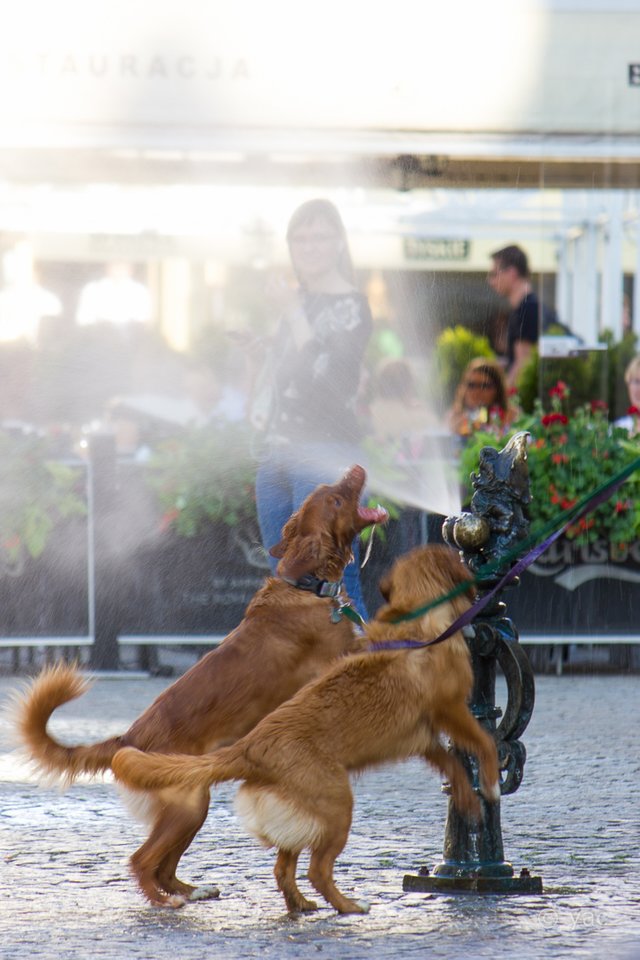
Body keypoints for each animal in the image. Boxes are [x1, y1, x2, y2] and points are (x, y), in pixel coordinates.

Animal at [13, 464, 384, 908]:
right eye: (336, 499)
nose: (356, 468)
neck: (307, 586)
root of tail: (128, 738)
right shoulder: (341, 656)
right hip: (188, 807)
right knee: (142, 860)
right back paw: (166, 901)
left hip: (194, 805)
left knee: (164, 866)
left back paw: (191, 891)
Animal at [111, 548, 500, 916]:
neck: (418, 621)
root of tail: (249, 747)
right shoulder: (452, 711)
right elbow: (485, 744)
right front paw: (492, 784)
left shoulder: (423, 739)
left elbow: (455, 767)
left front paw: (468, 801)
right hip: (335, 806)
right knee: (316, 869)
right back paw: (348, 906)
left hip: (296, 816)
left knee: (283, 869)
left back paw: (300, 904)